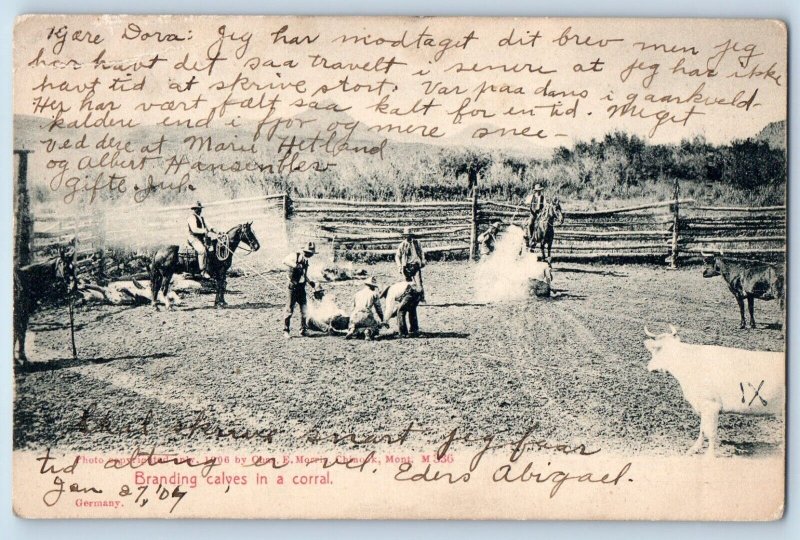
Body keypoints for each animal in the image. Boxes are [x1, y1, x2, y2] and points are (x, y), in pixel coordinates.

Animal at [640, 324, 784, 456]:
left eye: (656, 350)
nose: (649, 367)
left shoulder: (711, 405)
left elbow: (711, 432)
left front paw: (710, 456)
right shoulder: (703, 407)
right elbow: (702, 429)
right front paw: (694, 449)